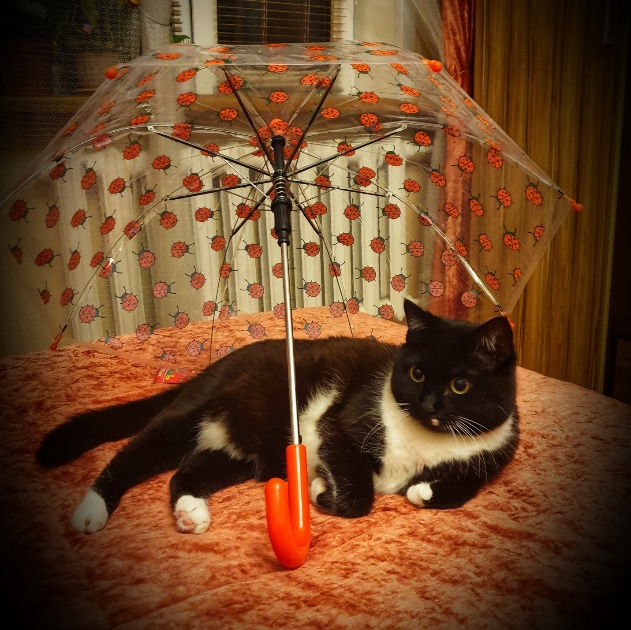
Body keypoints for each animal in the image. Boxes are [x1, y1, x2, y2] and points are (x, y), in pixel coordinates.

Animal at [36, 299, 519, 535]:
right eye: (416, 373)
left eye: (460, 385)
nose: (428, 404)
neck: (426, 440)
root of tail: (216, 365)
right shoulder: (338, 425)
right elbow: (359, 494)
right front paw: (323, 492)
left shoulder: (496, 448)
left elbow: (468, 485)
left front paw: (423, 491)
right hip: (195, 414)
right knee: (132, 455)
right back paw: (91, 512)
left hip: (238, 450)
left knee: (187, 471)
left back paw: (191, 513)